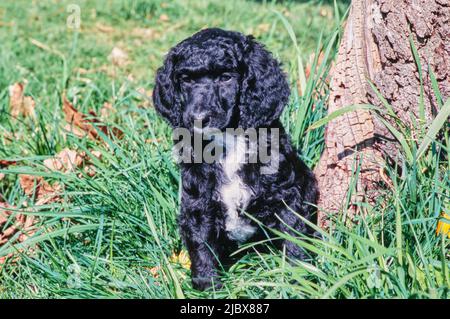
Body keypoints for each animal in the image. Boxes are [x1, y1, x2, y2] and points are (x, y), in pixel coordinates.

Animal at [153, 28, 318, 292]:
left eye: (226, 77)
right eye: (186, 79)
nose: (198, 118)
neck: (228, 141)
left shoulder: (287, 191)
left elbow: (294, 233)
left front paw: (298, 279)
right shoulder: (198, 200)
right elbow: (201, 241)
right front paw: (207, 285)